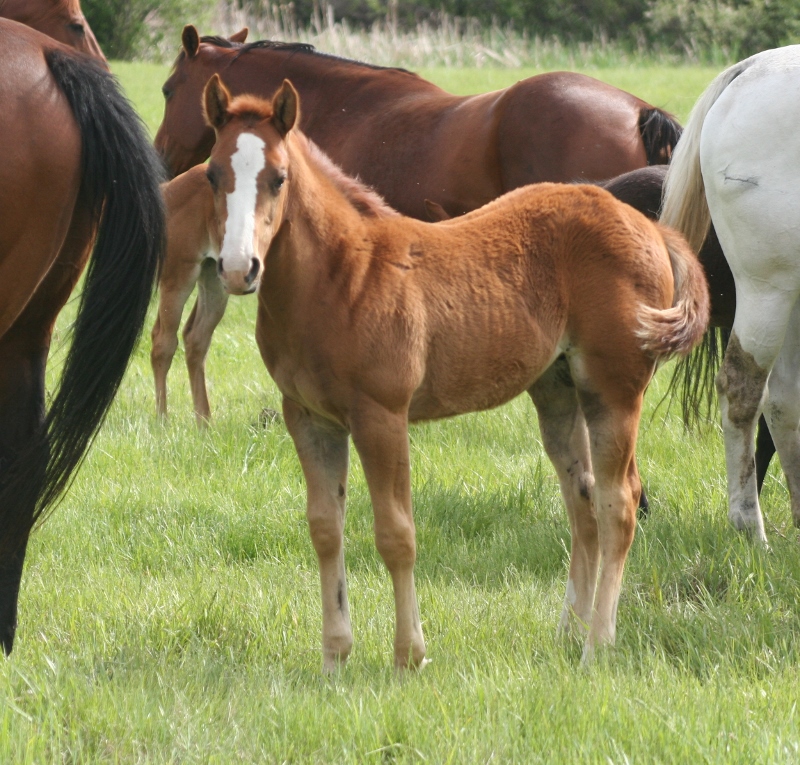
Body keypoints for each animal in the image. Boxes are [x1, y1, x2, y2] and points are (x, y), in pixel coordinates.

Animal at [201, 74, 709, 669]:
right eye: (213, 174)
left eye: (277, 178)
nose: (239, 269)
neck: (340, 277)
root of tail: (649, 226)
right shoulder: (307, 417)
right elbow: (325, 529)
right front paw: (334, 659)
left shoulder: (381, 416)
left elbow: (396, 534)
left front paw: (408, 656)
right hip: (558, 390)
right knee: (581, 501)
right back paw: (567, 632)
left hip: (614, 388)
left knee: (619, 504)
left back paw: (596, 645)